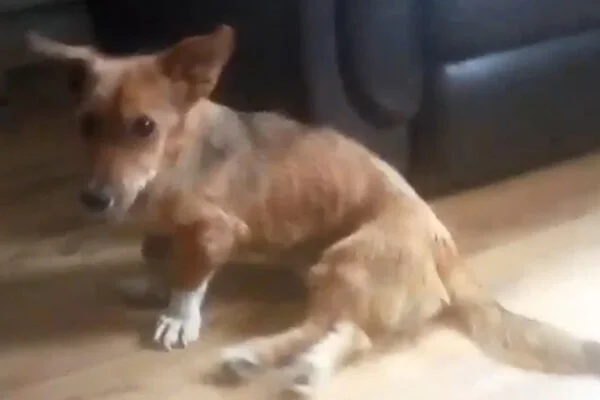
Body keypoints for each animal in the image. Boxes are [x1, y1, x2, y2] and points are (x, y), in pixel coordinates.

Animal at [28, 25, 600, 398]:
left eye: (144, 127)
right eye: (86, 124)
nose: (94, 200)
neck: (170, 162)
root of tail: (444, 247)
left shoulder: (215, 231)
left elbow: (190, 277)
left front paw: (176, 316)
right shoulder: (165, 226)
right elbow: (154, 250)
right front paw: (150, 285)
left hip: (345, 261)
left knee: (338, 328)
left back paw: (259, 357)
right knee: (348, 332)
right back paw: (304, 369)